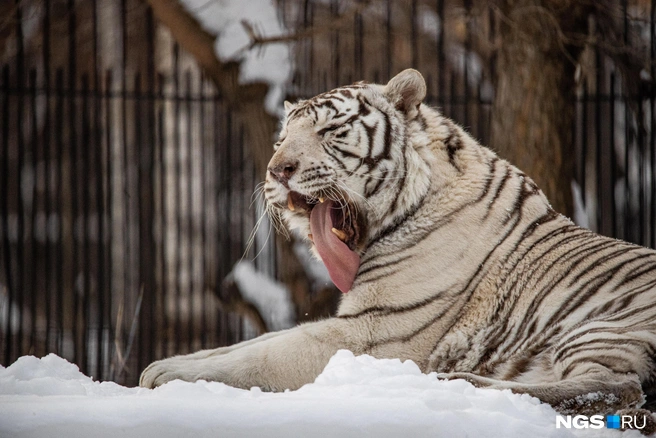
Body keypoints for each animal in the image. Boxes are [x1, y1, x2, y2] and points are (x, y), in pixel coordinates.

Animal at [140, 70, 656, 432]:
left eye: (330, 131)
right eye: (282, 139)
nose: (277, 170)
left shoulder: (376, 331)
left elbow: (266, 353)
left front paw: (164, 375)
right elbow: (248, 342)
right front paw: (168, 366)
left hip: (603, 324)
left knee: (619, 386)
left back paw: (456, 381)